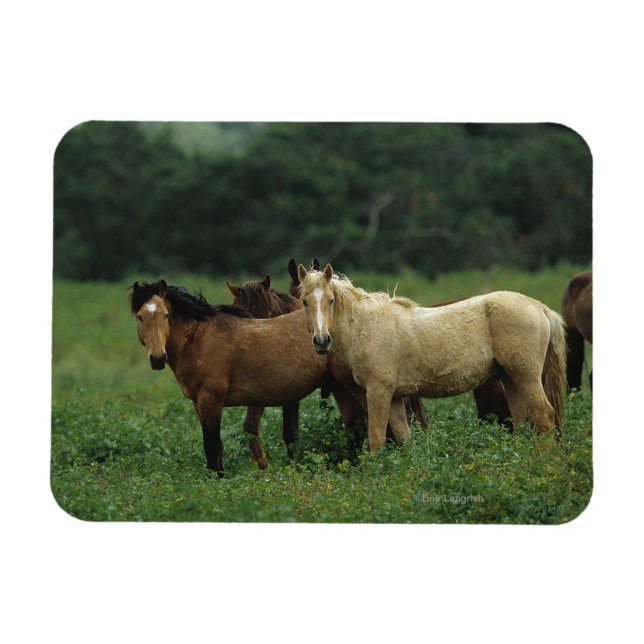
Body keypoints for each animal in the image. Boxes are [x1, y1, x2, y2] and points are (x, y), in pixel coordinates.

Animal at [130, 279, 365, 475]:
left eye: (165, 315)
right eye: (140, 317)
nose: (157, 358)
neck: (198, 338)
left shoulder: (211, 399)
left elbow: (211, 445)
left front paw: (217, 478)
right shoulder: (199, 403)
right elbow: (217, 446)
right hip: (340, 387)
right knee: (354, 424)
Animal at [298, 264, 567, 453]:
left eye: (331, 300)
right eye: (304, 302)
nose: (321, 341)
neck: (366, 326)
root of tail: (540, 307)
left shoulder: (378, 392)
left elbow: (376, 439)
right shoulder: (395, 398)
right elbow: (404, 438)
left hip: (526, 377)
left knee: (544, 415)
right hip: (510, 379)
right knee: (522, 421)